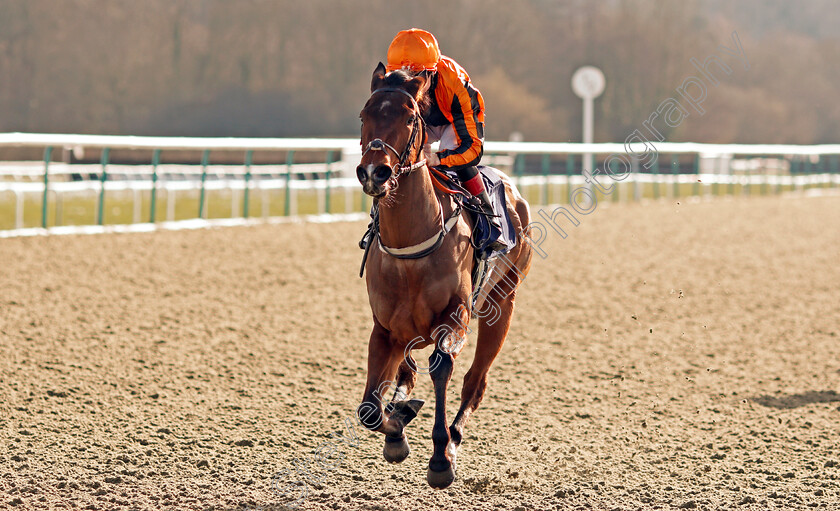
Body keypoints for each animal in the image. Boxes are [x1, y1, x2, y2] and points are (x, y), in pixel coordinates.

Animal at [354, 62, 532, 490]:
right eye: (364, 115)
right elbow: (370, 408)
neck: (411, 245)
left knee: (475, 382)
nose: (374, 172)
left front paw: (439, 458)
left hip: (503, 302)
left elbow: (441, 367)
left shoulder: (457, 316)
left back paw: (452, 439)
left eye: (409, 117)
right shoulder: (384, 328)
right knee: (409, 371)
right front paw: (398, 426)